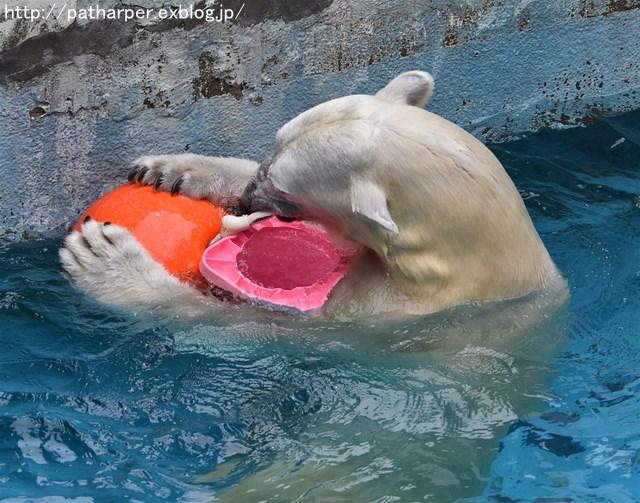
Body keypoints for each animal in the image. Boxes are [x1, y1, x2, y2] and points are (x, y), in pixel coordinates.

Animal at [60, 70, 564, 318]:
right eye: (274, 143)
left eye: (285, 192)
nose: (247, 199)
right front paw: (173, 170)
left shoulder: (382, 315)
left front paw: (105, 260)